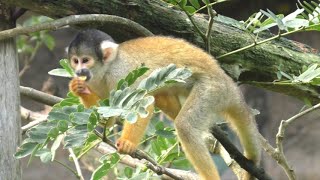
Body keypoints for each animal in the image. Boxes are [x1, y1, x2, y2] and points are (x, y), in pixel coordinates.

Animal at [67, 29, 260, 179]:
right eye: (75, 60)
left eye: (86, 60)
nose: (79, 71)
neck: (105, 70)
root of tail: (227, 83)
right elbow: (108, 119)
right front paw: (78, 88)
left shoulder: (121, 73)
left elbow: (141, 103)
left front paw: (128, 142)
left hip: (212, 90)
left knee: (185, 126)